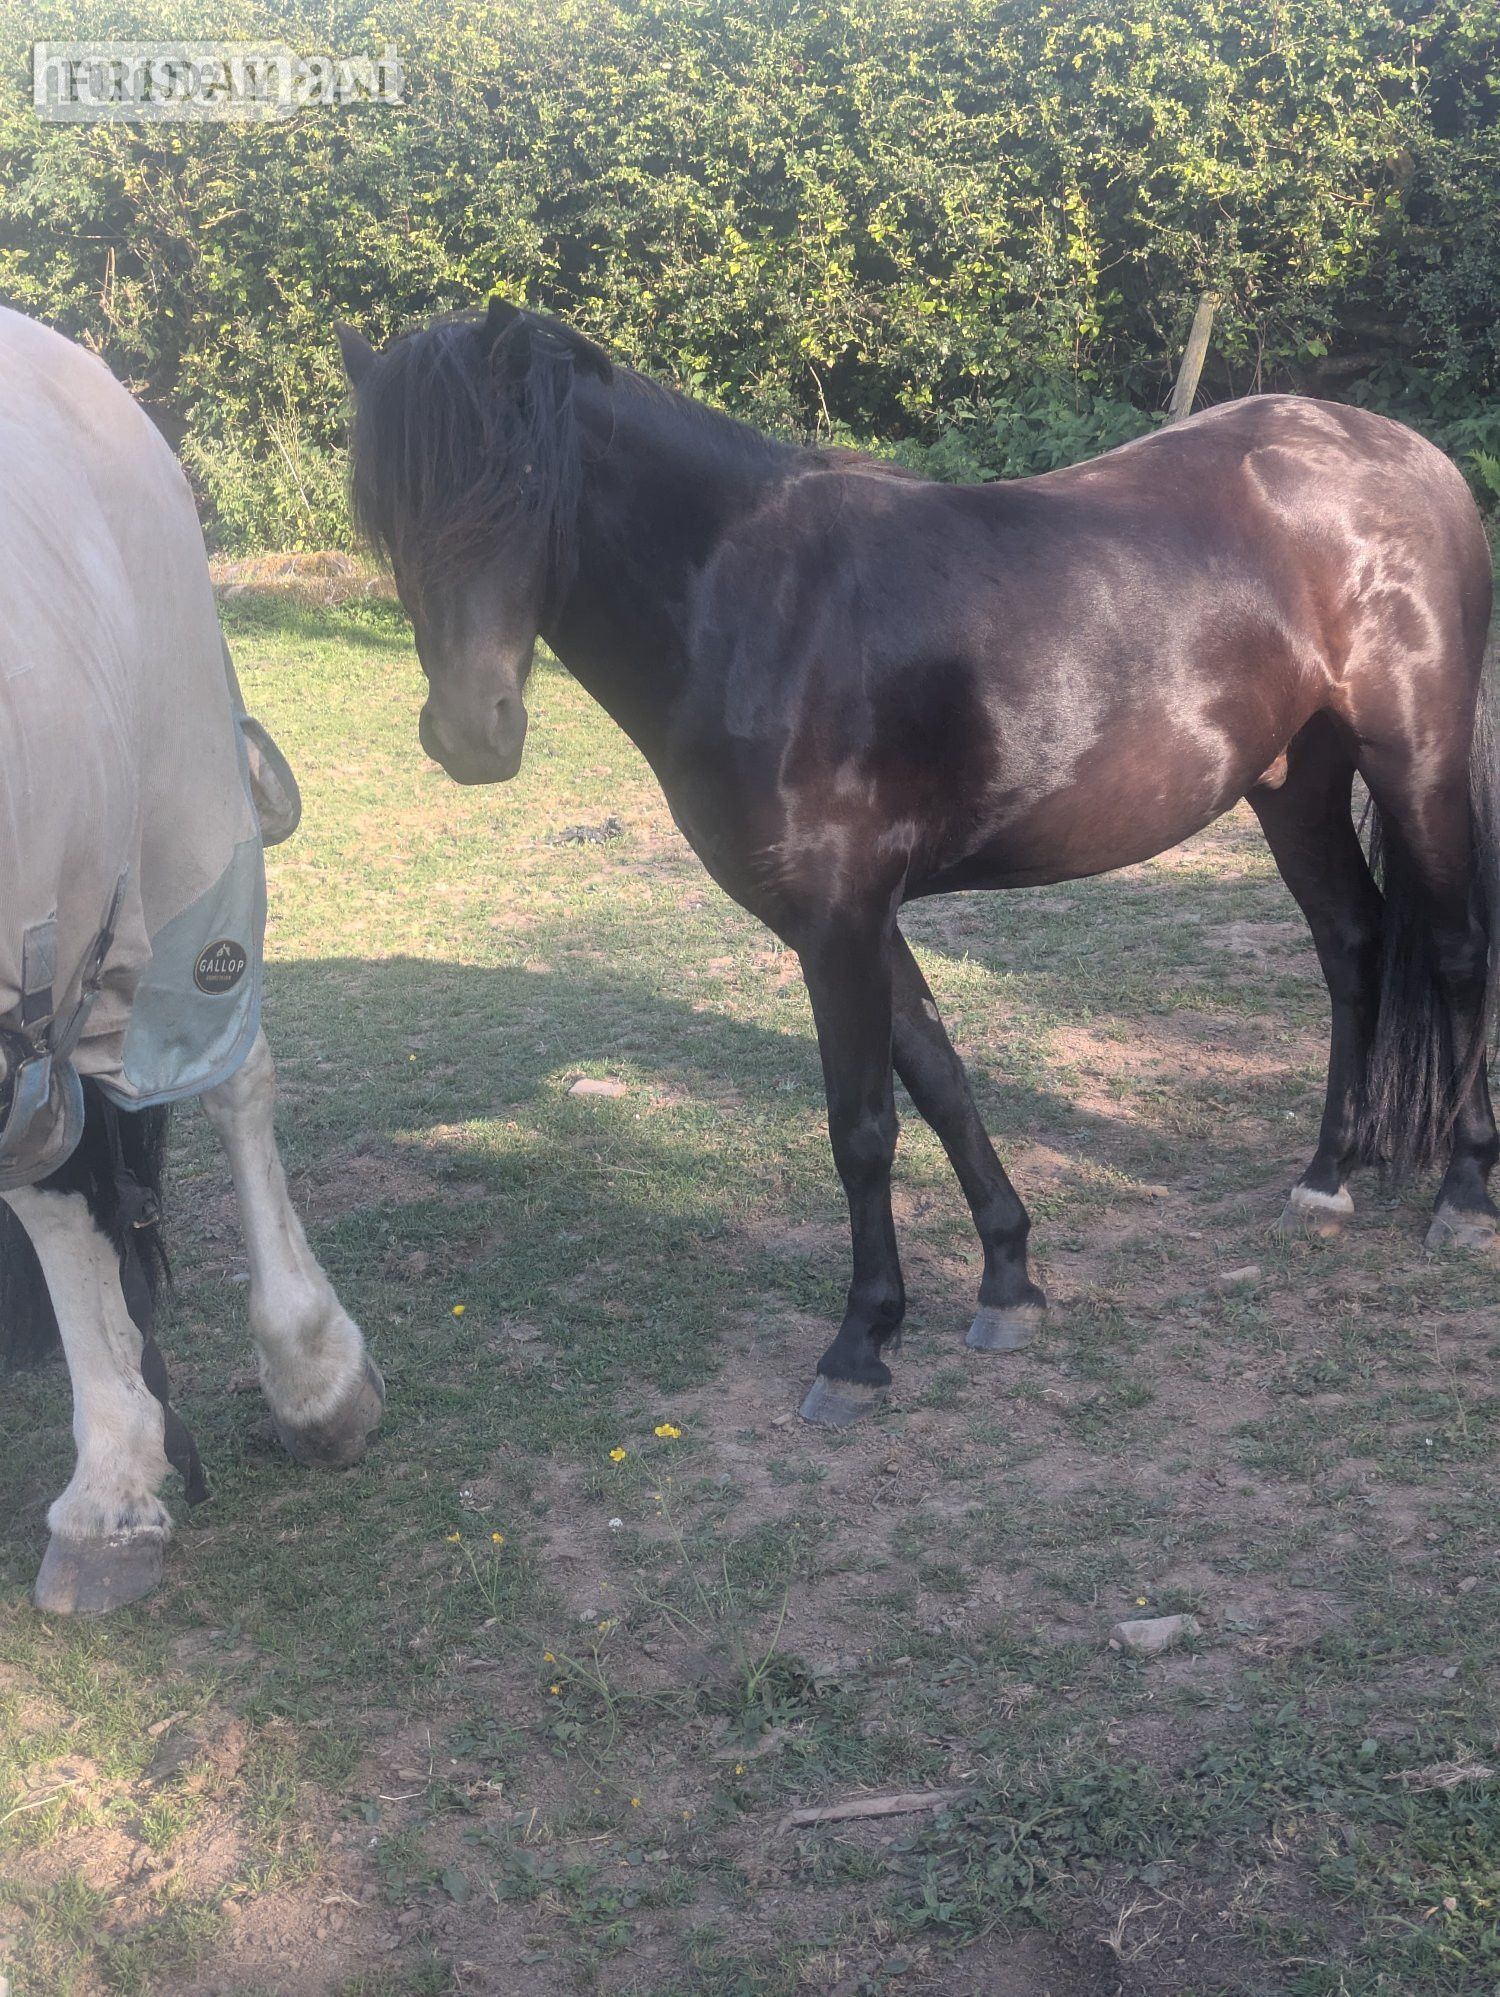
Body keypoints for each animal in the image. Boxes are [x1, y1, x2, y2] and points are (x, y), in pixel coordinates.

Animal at [336, 298, 1498, 1428]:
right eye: (384, 508)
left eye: (524, 489)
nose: (471, 733)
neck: (751, 605)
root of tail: (1411, 459)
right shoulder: (846, 915)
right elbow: (940, 1078)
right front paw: (1008, 1280)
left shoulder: (839, 918)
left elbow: (862, 1125)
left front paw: (861, 1344)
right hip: (1294, 778)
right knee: (1352, 944)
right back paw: (1329, 1175)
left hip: (1417, 760)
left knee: (1452, 950)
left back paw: (1464, 1193)